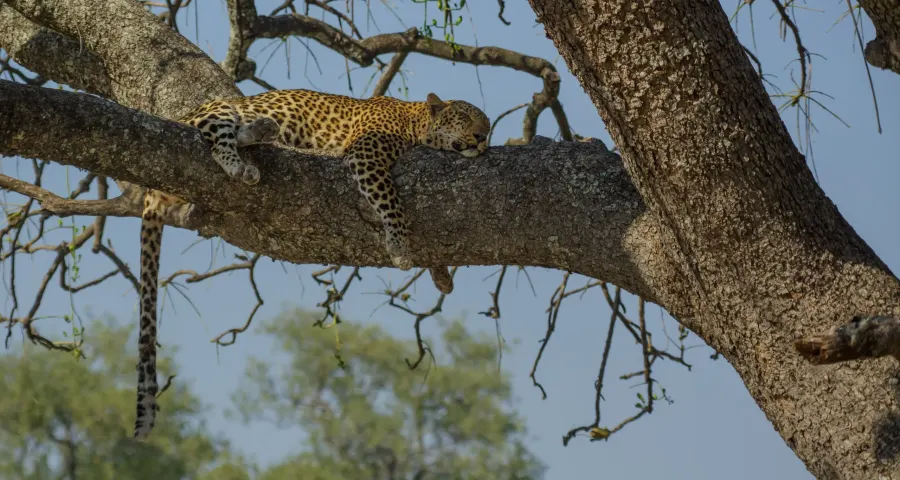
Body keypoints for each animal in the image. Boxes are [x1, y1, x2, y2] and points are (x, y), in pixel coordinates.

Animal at [133, 89, 491, 439]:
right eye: (465, 117)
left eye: (488, 125)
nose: (482, 137)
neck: (415, 122)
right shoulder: (367, 154)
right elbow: (390, 198)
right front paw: (399, 244)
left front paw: (441, 275)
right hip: (216, 111)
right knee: (218, 138)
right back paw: (241, 163)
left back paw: (260, 132)